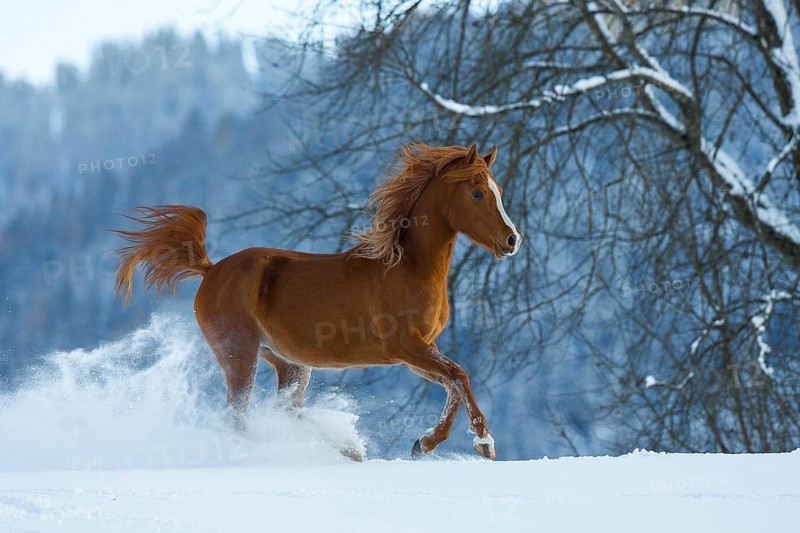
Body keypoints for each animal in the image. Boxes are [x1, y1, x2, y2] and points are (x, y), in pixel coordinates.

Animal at [112, 143, 521, 460]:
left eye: (498, 189)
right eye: (477, 193)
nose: (513, 239)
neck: (406, 267)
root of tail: (211, 270)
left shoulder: (419, 350)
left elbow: (452, 383)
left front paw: (424, 444)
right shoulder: (405, 346)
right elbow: (459, 375)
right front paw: (484, 441)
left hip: (290, 363)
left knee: (283, 409)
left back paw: (348, 450)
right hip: (240, 354)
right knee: (238, 415)